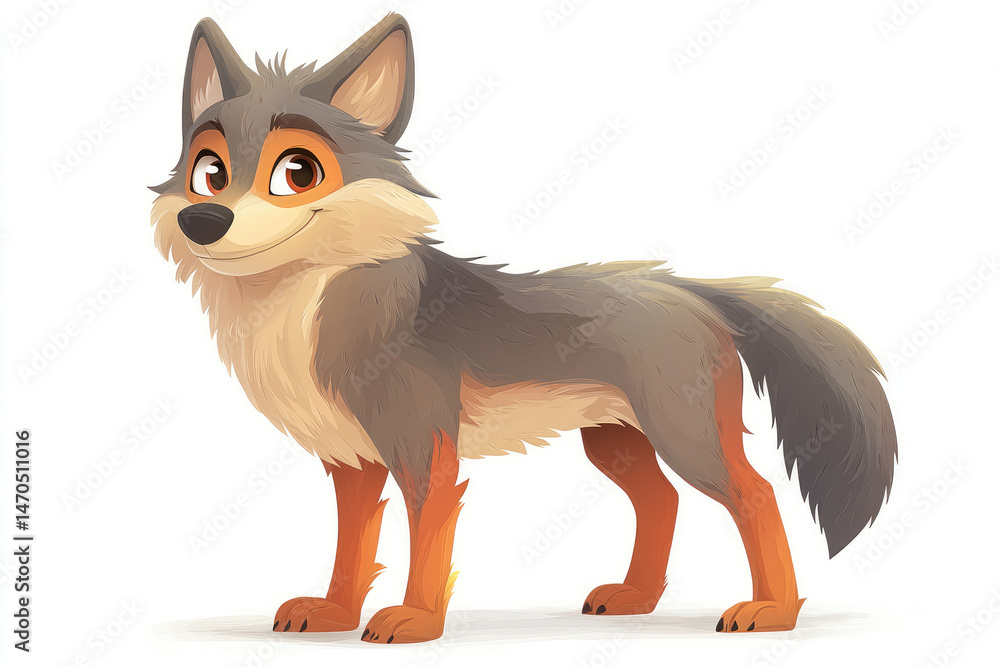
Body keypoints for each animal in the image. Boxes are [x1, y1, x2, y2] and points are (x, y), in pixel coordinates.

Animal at [151, 14, 897, 643]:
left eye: (296, 172)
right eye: (209, 171)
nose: (203, 220)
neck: (306, 307)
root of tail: (688, 287)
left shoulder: (422, 447)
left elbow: (425, 539)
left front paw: (418, 621)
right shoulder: (354, 457)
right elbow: (352, 546)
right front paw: (335, 612)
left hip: (686, 438)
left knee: (755, 495)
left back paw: (772, 610)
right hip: (616, 443)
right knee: (660, 502)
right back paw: (635, 597)